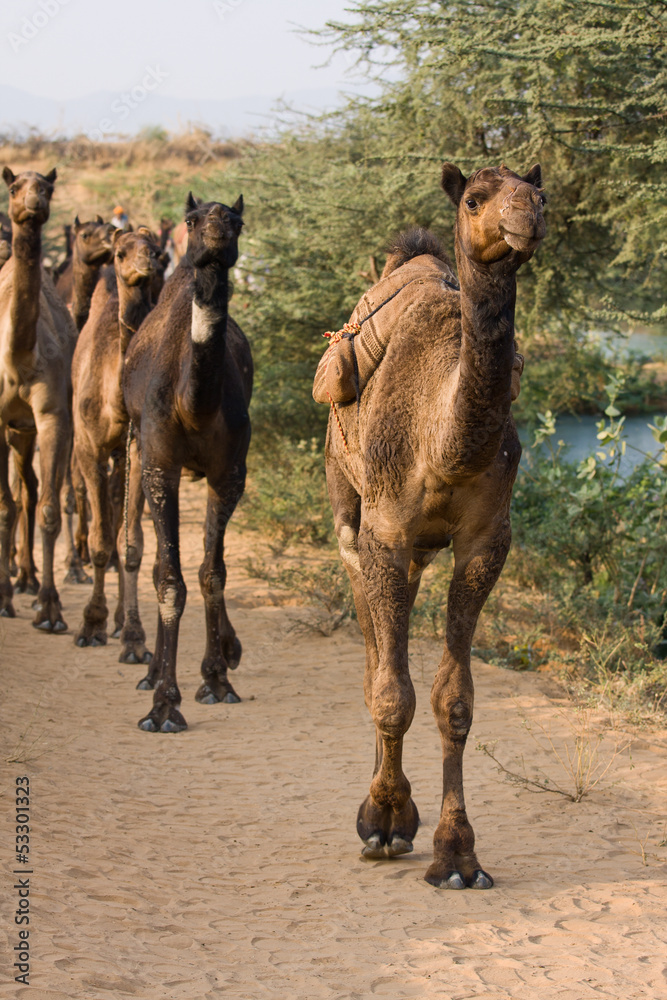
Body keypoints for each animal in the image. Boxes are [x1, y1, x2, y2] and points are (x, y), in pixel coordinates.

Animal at [322, 162, 546, 888]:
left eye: (540, 193)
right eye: (474, 198)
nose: (527, 216)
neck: (443, 440)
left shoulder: (485, 543)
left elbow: (456, 700)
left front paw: (457, 854)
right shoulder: (385, 535)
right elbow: (393, 692)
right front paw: (384, 822)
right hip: (348, 506)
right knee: (373, 652)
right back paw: (381, 808)